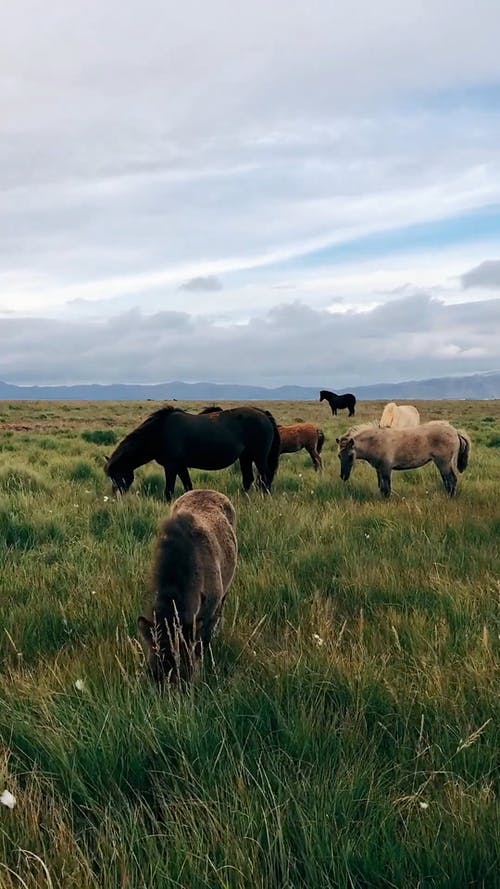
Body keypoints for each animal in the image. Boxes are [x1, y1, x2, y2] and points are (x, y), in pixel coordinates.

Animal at [104, 404, 282, 500]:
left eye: (117, 475)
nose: (117, 497)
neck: (160, 432)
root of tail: (263, 414)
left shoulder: (171, 466)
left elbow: (169, 491)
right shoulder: (181, 466)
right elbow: (188, 486)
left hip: (259, 456)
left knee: (264, 479)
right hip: (245, 457)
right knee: (248, 479)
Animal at [338, 420, 470, 496]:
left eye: (350, 456)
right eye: (339, 456)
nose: (343, 476)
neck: (375, 441)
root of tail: (455, 431)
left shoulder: (386, 468)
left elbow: (386, 489)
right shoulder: (379, 469)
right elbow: (381, 487)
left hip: (443, 463)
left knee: (451, 480)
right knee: (448, 481)